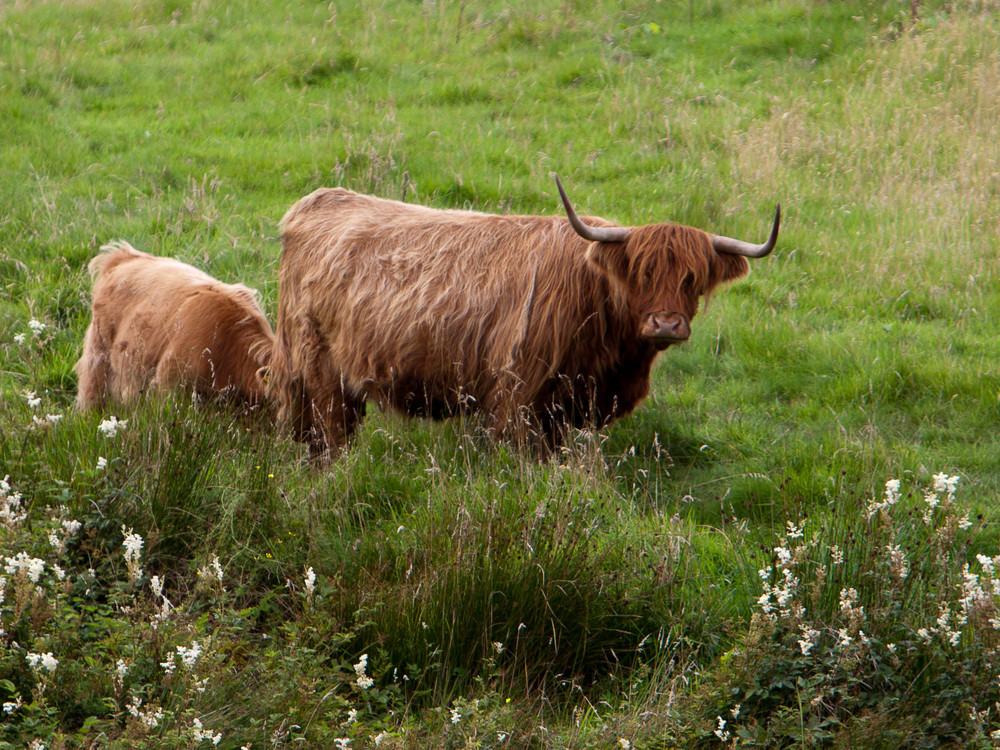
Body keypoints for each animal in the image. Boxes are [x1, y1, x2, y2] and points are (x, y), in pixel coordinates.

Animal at [270, 179, 776, 456]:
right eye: (641, 272)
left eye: (694, 278)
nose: (666, 325)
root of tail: (319, 200)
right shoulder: (519, 397)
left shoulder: (568, 409)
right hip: (320, 372)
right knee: (331, 437)